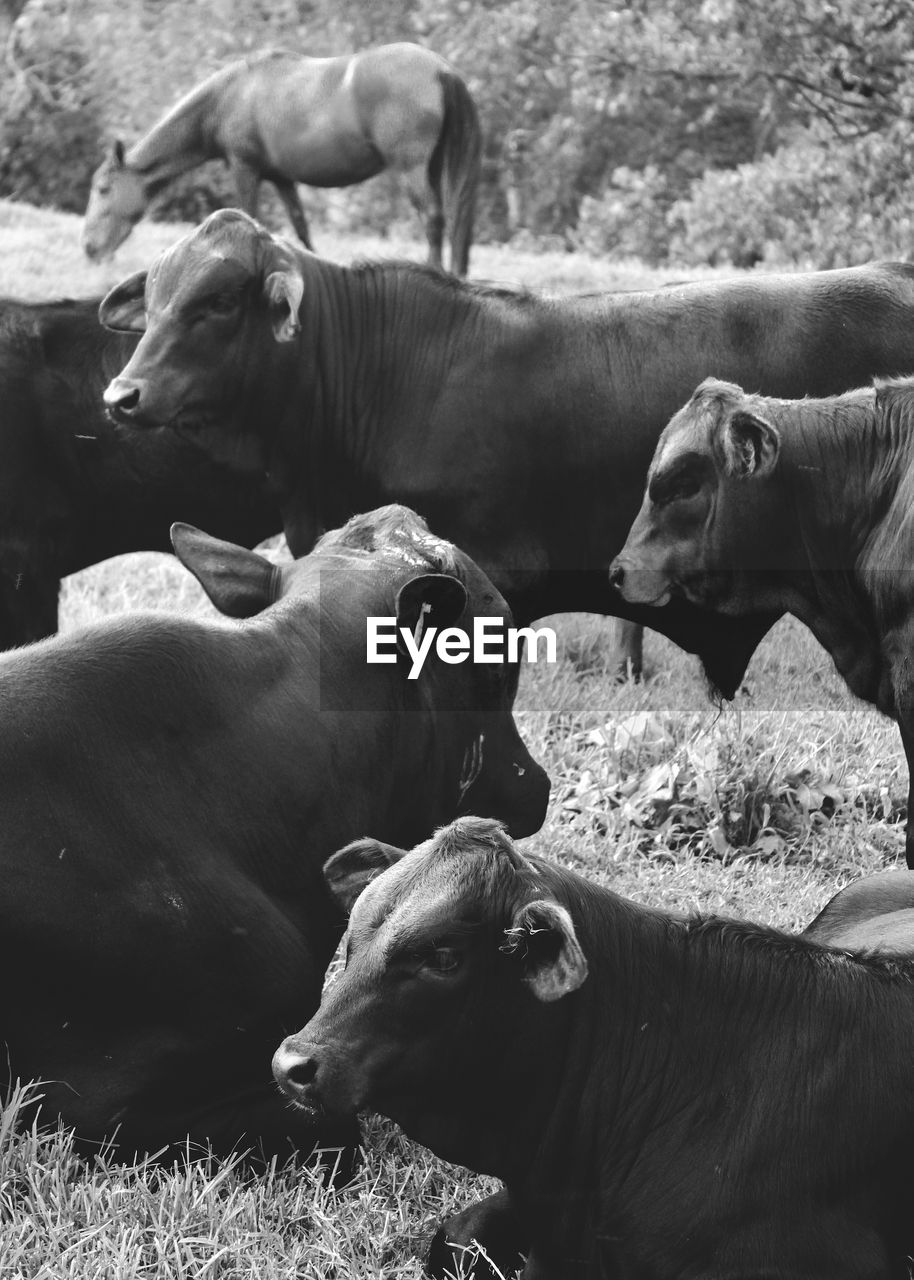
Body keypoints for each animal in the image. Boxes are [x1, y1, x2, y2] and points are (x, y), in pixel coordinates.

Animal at [81, 44, 481, 272]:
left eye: (103, 189)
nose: (90, 250)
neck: (229, 96)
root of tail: (441, 69)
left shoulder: (244, 169)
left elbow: (246, 216)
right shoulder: (281, 178)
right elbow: (301, 227)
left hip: (412, 169)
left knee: (433, 220)